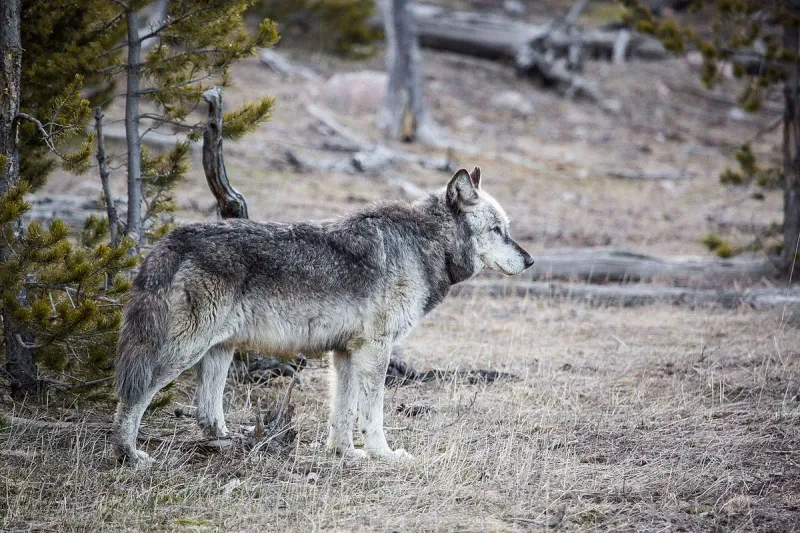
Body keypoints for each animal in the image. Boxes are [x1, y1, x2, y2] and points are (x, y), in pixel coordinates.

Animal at [113, 167, 534, 465]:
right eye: (497, 230)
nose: (530, 261)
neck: (424, 244)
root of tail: (170, 240)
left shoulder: (345, 352)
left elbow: (342, 413)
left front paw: (345, 453)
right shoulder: (375, 349)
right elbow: (372, 413)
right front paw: (384, 455)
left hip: (219, 352)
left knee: (206, 415)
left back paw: (230, 444)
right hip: (183, 352)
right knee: (133, 396)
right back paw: (129, 455)